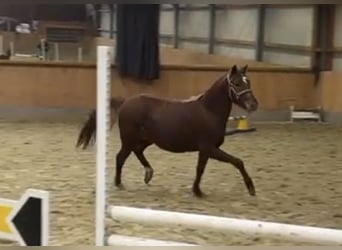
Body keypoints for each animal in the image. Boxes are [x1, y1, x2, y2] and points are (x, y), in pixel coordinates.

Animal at [77, 64, 260, 197]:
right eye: (236, 83)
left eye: (249, 82)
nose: (253, 105)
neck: (209, 111)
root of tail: (125, 102)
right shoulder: (209, 148)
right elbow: (237, 161)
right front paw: (251, 188)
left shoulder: (206, 150)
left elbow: (201, 169)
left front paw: (196, 190)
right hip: (129, 139)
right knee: (120, 157)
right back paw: (119, 183)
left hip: (146, 139)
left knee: (137, 151)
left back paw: (148, 174)